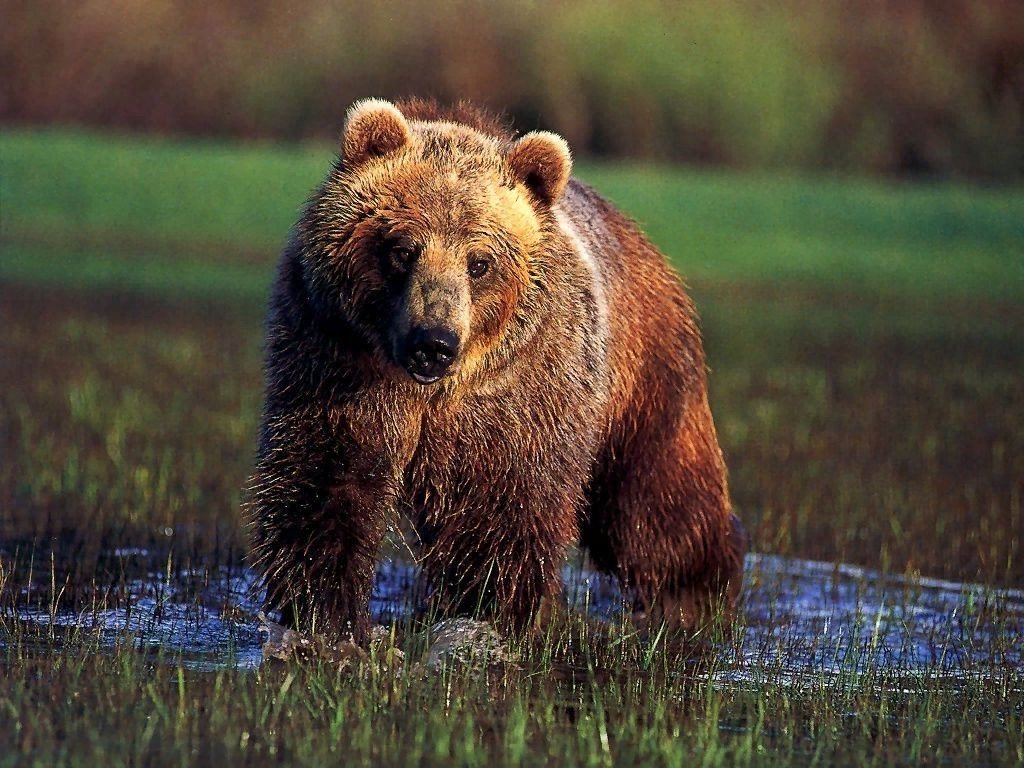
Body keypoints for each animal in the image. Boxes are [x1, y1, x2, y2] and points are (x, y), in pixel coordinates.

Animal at [247, 99, 745, 647]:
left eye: (480, 262)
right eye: (402, 249)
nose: (433, 342)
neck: (431, 391)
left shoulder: (521, 390)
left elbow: (501, 505)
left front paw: (480, 613)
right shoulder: (336, 359)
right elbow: (327, 477)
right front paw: (323, 616)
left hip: (647, 381)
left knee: (657, 504)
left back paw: (692, 598)